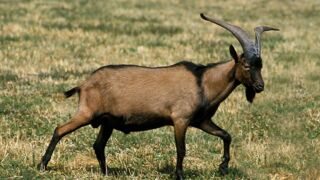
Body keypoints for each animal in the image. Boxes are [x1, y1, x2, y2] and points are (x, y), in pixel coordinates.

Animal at [37, 13, 278, 179]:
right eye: (246, 65)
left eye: (261, 65)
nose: (260, 86)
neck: (203, 81)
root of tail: (84, 84)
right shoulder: (180, 119)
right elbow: (181, 149)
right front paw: (180, 175)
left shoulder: (201, 120)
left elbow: (226, 136)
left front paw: (223, 167)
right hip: (87, 112)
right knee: (60, 130)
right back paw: (42, 165)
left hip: (107, 121)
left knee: (98, 145)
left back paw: (107, 172)